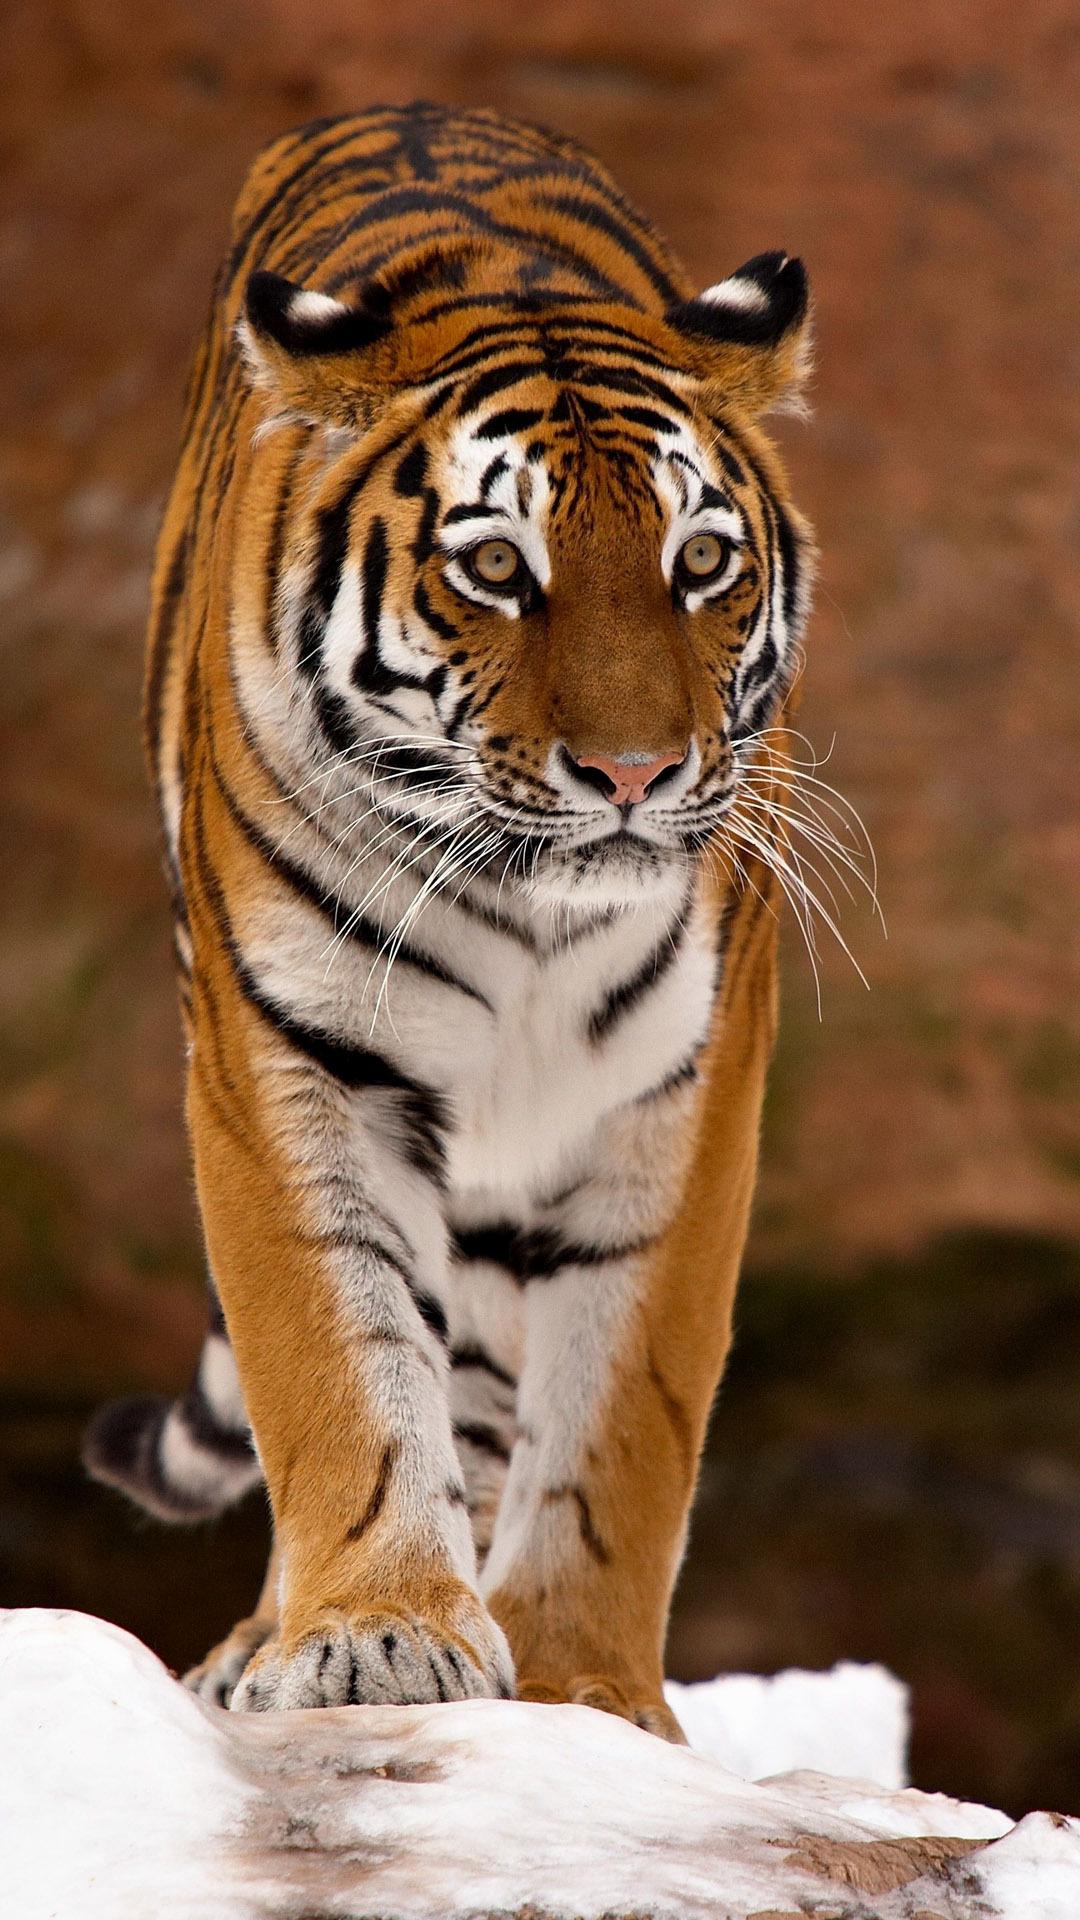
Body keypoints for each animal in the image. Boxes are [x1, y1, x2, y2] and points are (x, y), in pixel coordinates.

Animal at [84, 97, 807, 1735]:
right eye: (494, 568)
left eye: (700, 562)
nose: (634, 773)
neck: (524, 901)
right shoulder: (291, 1059)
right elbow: (333, 1358)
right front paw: (377, 1633)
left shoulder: (684, 1087)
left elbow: (623, 1417)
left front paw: (587, 1691)